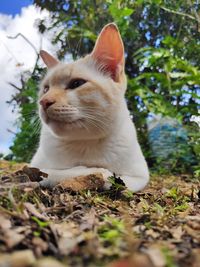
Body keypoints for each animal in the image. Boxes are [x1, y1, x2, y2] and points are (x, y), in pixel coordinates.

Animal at [31, 22, 149, 192]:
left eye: (76, 83)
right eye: (46, 89)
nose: (44, 101)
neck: (85, 142)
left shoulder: (140, 176)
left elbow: (119, 181)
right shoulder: (34, 167)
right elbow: (61, 172)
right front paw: (96, 171)